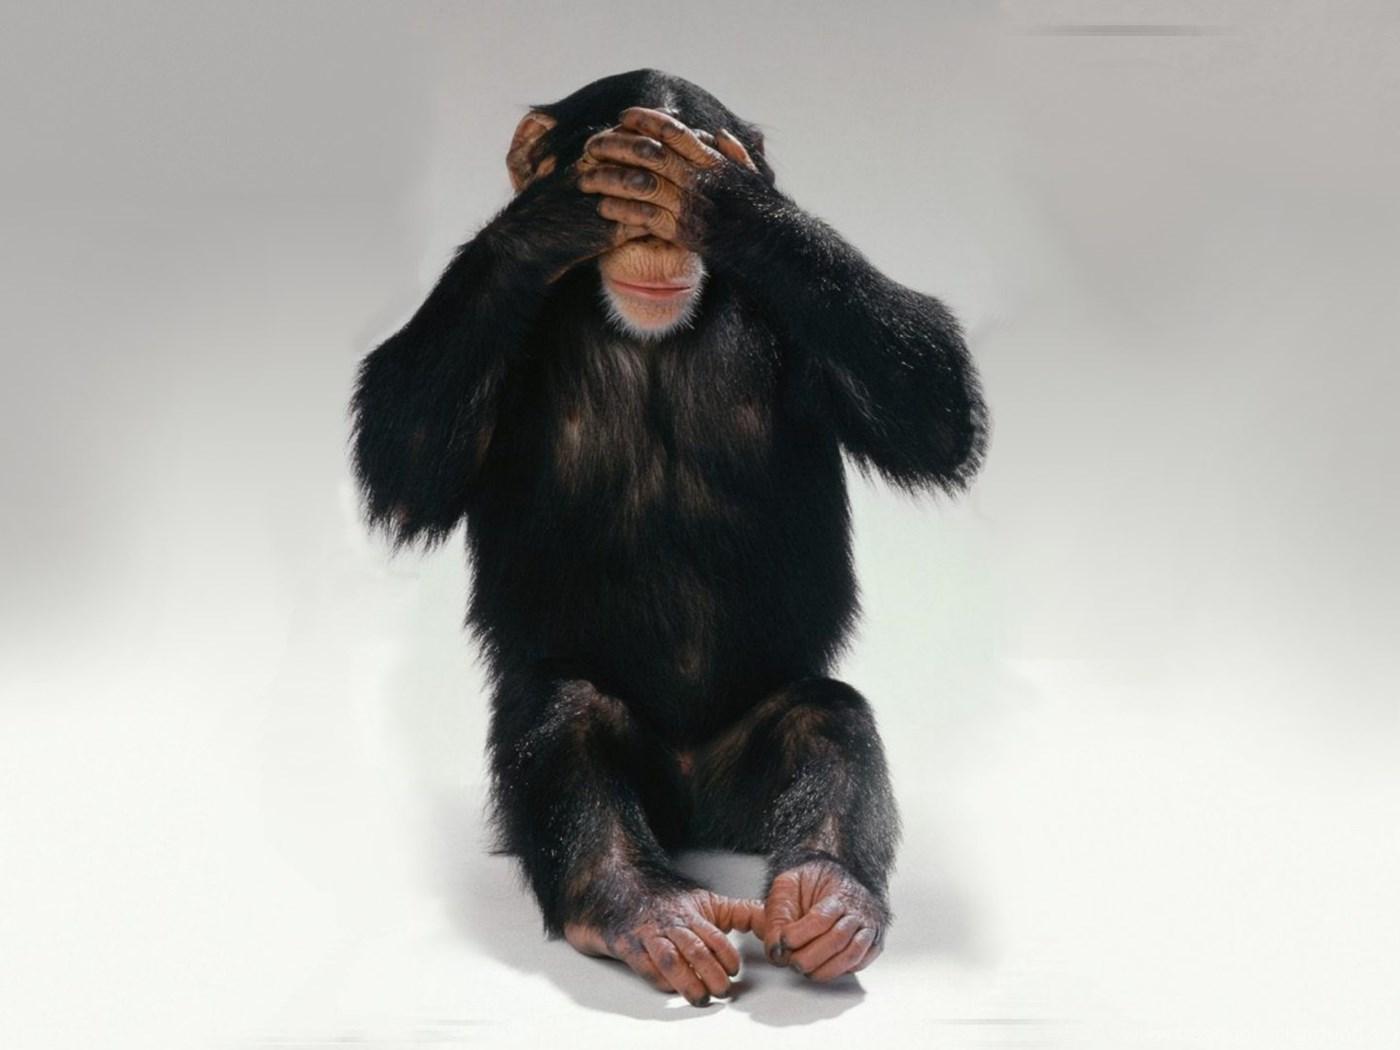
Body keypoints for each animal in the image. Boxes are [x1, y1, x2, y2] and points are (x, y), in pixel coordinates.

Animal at [350, 69, 987, 1004]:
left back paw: (828, 896)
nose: (652, 231)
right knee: (566, 717)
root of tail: (692, 807)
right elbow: (403, 454)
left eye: (672, 211)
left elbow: (931, 405)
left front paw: (727, 201)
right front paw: (559, 205)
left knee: (828, 719)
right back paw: (638, 906)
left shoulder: (826, 336)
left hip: (750, 778)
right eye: (624, 210)